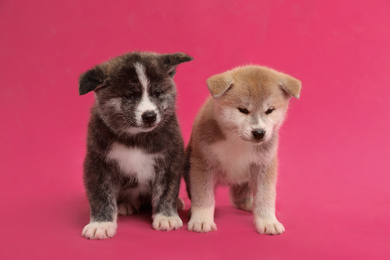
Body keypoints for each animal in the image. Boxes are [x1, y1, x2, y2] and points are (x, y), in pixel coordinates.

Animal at [79, 51, 193, 240]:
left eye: (157, 93)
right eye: (130, 95)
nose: (150, 116)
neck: (136, 138)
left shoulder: (170, 159)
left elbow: (166, 190)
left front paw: (166, 217)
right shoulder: (98, 163)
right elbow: (100, 195)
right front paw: (101, 224)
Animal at [184, 64, 302, 234]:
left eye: (269, 110)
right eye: (243, 109)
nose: (259, 132)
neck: (238, 141)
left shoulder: (264, 165)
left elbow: (265, 197)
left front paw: (268, 221)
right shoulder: (203, 163)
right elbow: (203, 196)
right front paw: (201, 219)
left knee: (240, 197)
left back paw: (249, 205)